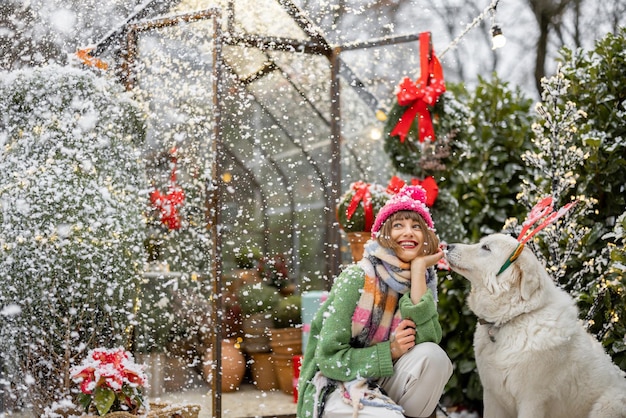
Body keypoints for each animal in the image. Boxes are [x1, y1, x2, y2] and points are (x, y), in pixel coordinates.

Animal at [444, 232, 624, 418]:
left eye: (486, 247)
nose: (447, 246)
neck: (513, 317)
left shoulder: (532, 401)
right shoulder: (492, 396)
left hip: (607, 405)